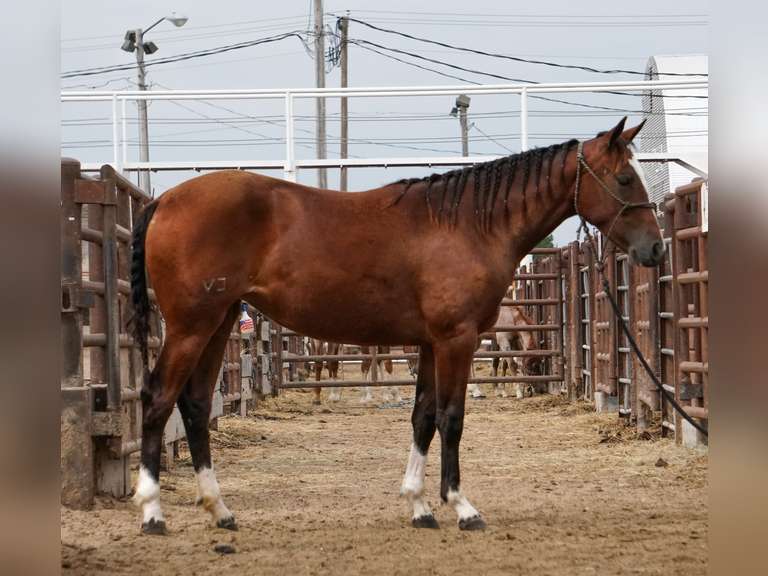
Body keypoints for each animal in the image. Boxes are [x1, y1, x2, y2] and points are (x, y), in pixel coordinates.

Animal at [130, 118, 663, 533]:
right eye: (624, 178)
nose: (655, 249)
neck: (468, 224)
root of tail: (166, 200)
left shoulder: (429, 343)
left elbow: (423, 416)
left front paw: (420, 505)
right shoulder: (456, 340)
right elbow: (452, 417)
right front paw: (461, 507)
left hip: (217, 325)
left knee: (196, 405)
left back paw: (219, 509)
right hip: (190, 327)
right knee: (157, 399)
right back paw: (152, 512)